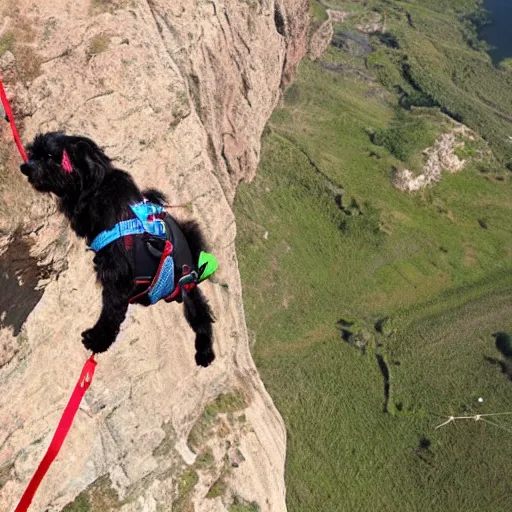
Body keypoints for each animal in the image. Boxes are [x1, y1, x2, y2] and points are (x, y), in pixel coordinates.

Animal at [20, 130, 215, 366]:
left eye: (49, 156)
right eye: (33, 153)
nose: (25, 167)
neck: (98, 189)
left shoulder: (117, 275)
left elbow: (111, 312)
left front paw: (97, 340)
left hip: (182, 285)